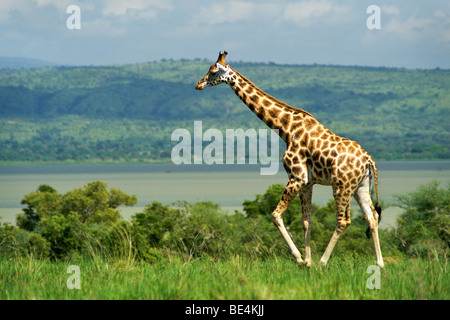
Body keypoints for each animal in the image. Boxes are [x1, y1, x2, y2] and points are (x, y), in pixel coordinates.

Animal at [195, 51, 384, 268]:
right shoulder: (307, 182)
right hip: (361, 186)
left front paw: (300, 258)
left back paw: (323, 261)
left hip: (342, 186)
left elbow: (276, 215)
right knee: (372, 216)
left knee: (343, 221)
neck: (285, 128)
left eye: (212, 71)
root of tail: (369, 160)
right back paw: (380, 264)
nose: (198, 84)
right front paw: (307, 261)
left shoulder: (296, 176)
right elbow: (306, 220)